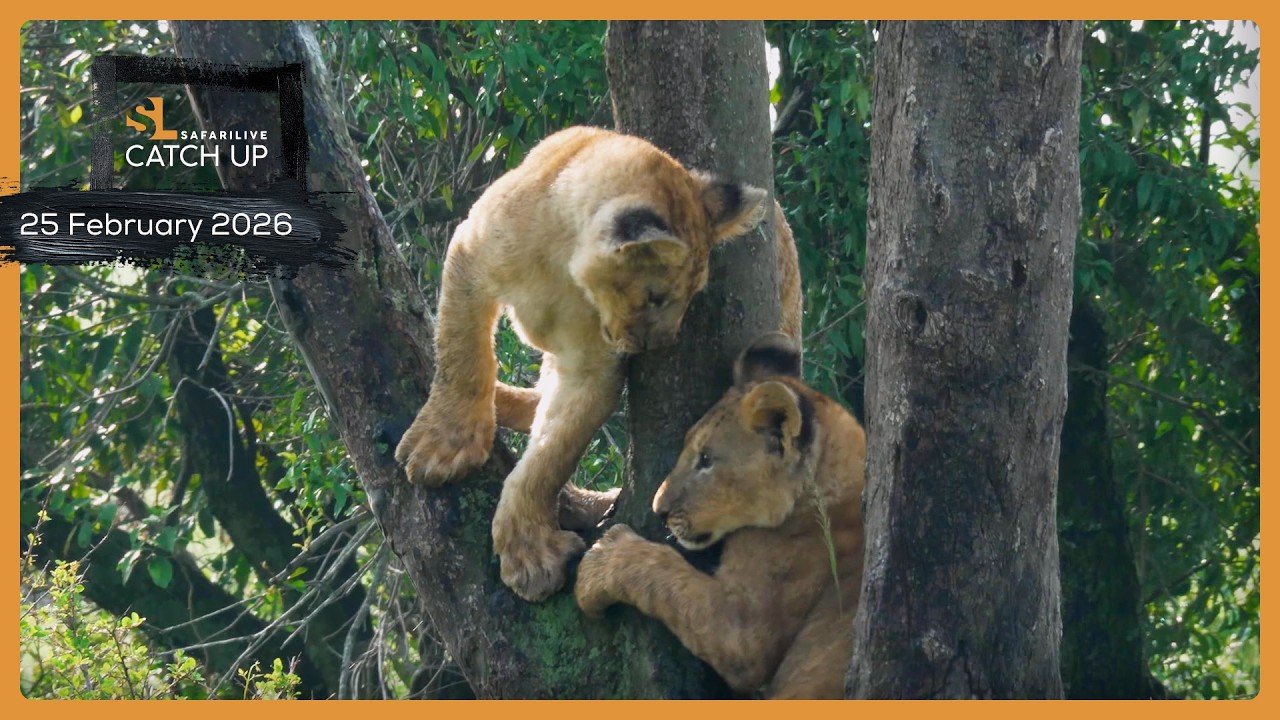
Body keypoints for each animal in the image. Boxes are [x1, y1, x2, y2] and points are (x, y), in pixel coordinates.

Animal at [396, 126, 800, 602]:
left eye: (693, 295)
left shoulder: (593, 368)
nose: (661, 343)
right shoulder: (470, 254)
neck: (560, 264)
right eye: (656, 296)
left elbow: (553, 452)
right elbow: (463, 354)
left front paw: (529, 553)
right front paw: (445, 447)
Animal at [574, 332, 866, 699]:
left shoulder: (744, 633)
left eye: (706, 459)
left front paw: (601, 561)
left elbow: (666, 576)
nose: (659, 510)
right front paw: (583, 500)